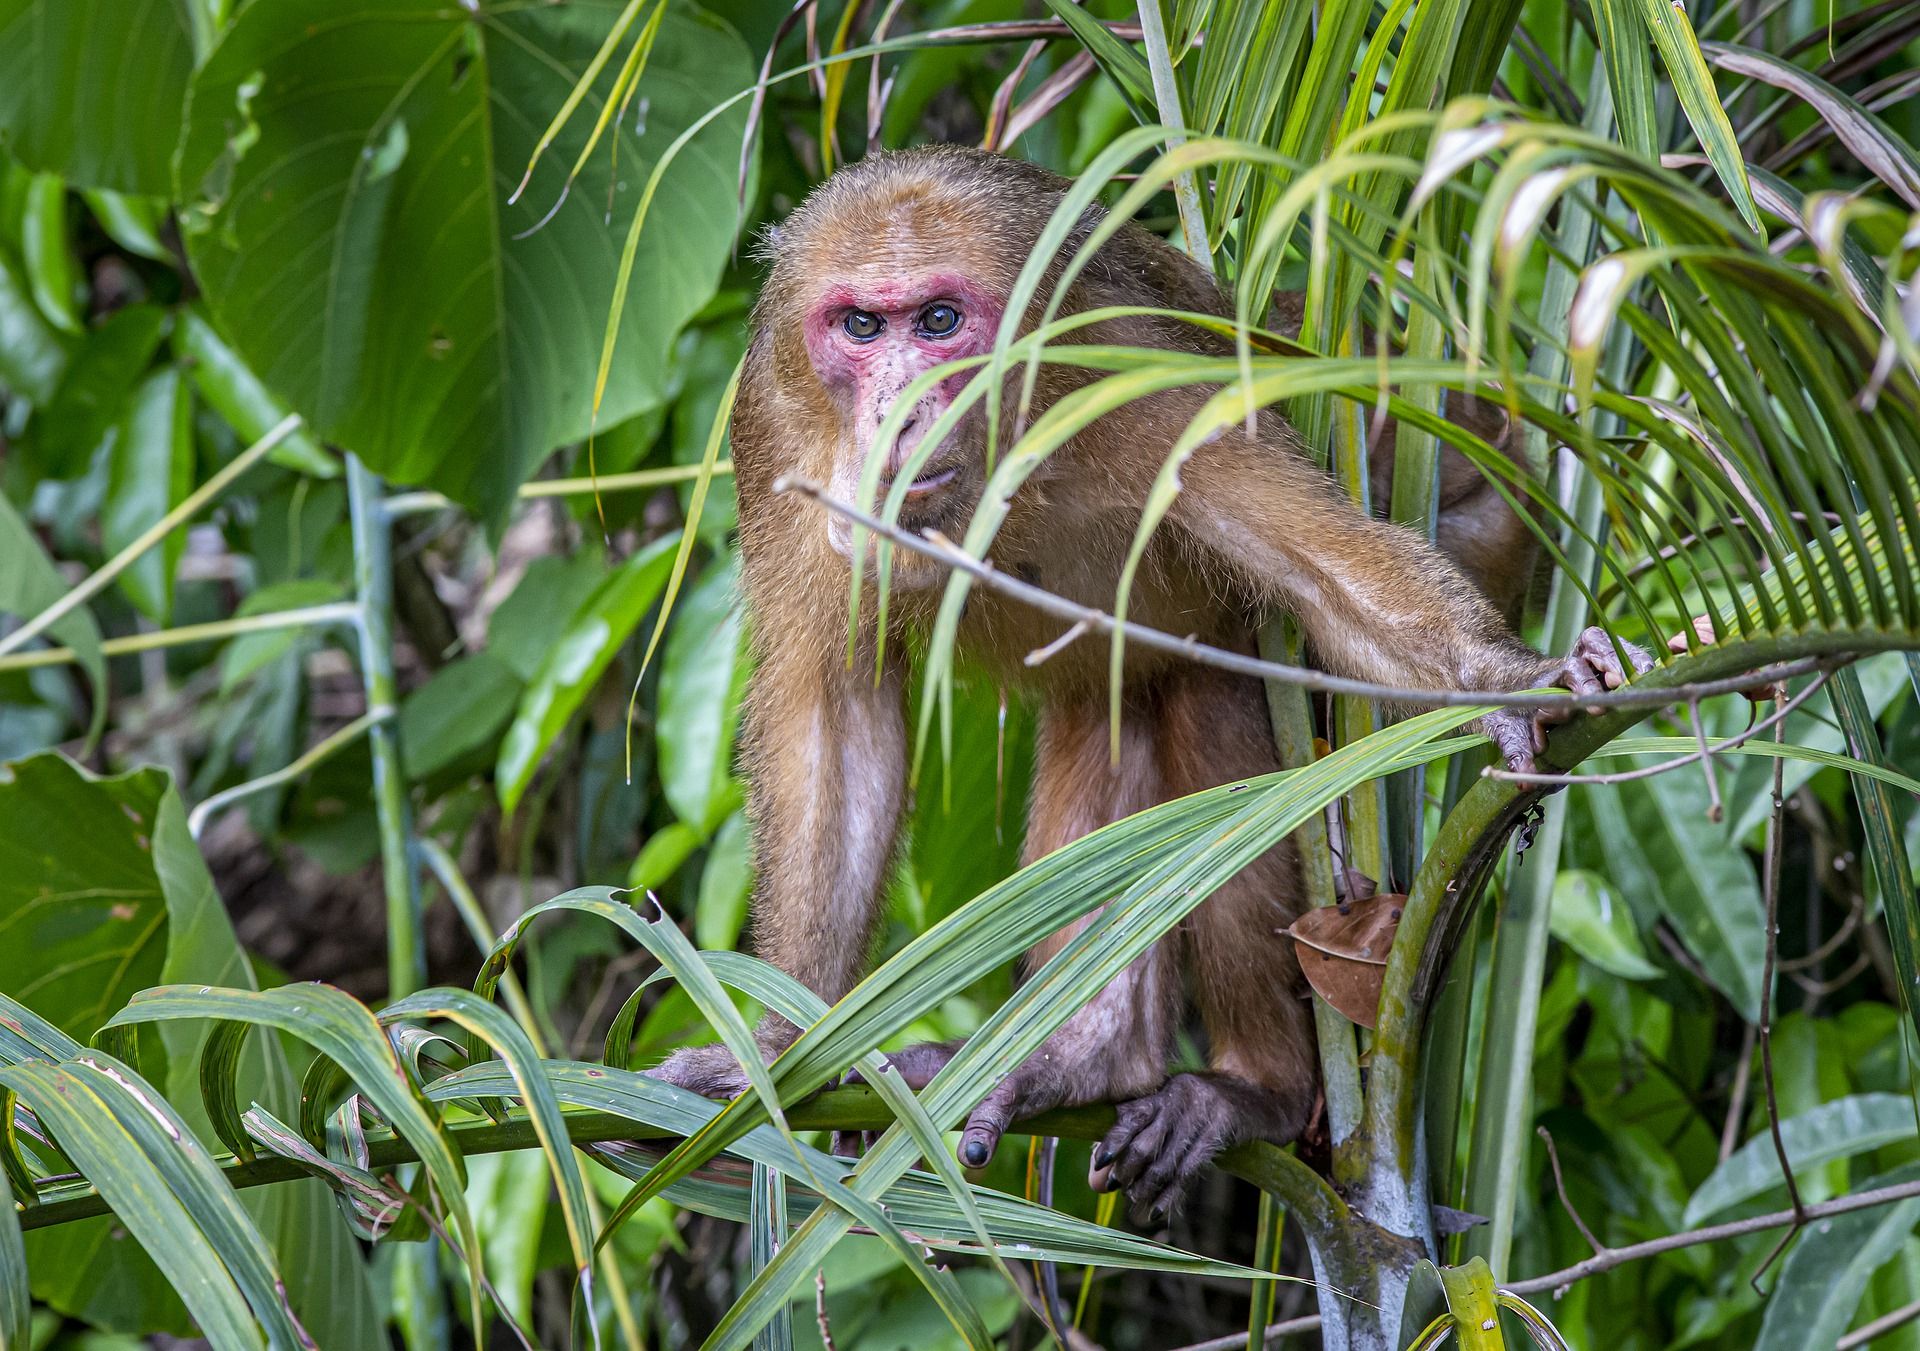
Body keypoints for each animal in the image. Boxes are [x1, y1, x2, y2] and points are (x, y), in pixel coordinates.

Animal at [652, 147, 1643, 1228]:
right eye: (862, 327)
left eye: (941, 322)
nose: (901, 413)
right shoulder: (776, 426)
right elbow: (834, 711)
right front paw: (781, 1055)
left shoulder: (1145, 378)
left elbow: (1329, 579)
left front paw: (1508, 683)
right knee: (1124, 701)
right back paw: (1093, 1061)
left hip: (1494, 512)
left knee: (1224, 701)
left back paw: (1259, 1087)